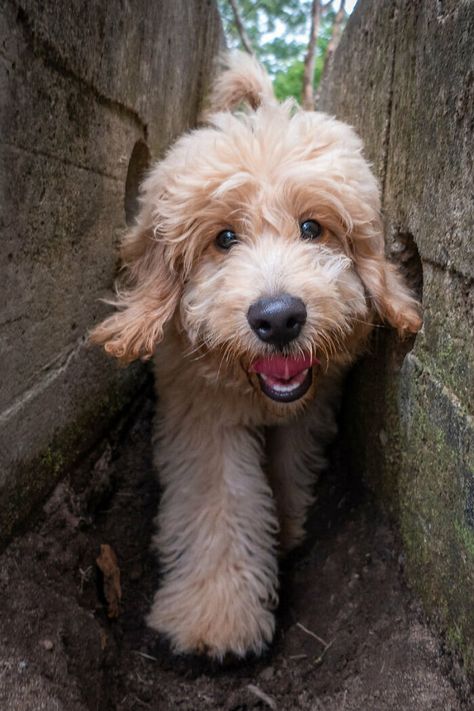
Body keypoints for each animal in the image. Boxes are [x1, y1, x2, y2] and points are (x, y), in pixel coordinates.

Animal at [90, 52, 422, 660]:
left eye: (313, 227)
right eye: (224, 238)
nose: (279, 318)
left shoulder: (311, 405)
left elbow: (288, 465)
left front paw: (284, 527)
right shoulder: (200, 410)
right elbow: (219, 498)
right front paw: (217, 615)